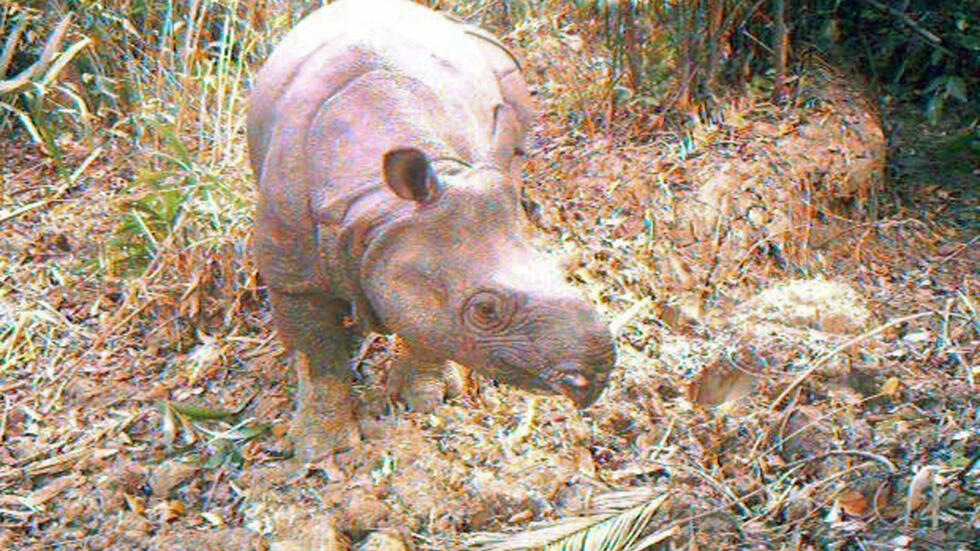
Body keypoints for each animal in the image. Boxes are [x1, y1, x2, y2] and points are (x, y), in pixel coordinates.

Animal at [247, 0, 616, 461]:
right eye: (485, 311)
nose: (592, 379)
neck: (379, 208)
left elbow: (431, 326)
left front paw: (424, 399)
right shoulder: (292, 274)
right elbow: (318, 354)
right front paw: (324, 451)